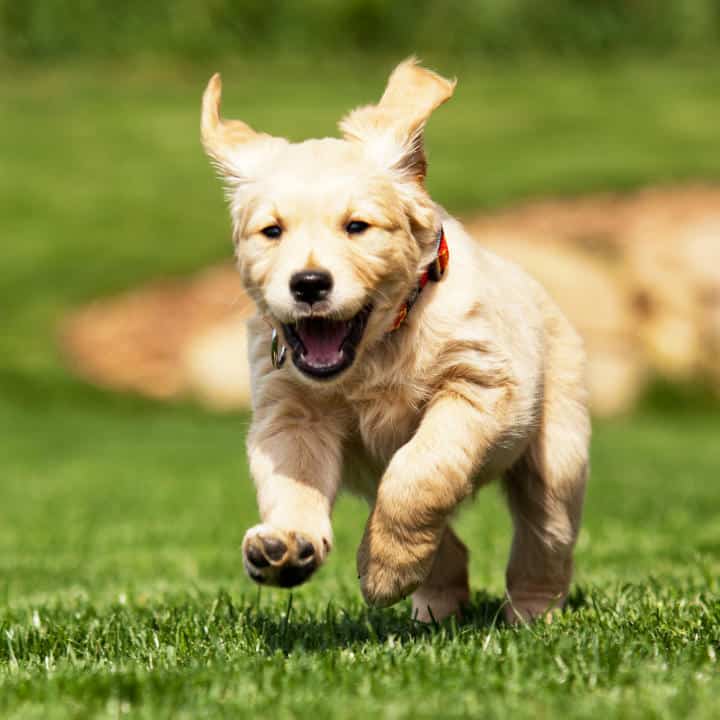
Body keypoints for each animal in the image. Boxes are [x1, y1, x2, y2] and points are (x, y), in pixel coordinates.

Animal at [201, 59, 592, 620]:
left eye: (357, 226)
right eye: (272, 231)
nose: (309, 284)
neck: (377, 348)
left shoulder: (479, 386)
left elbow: (420, 472)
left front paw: (385, 571)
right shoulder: (292, 415)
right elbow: (295, 482)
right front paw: (287, 544)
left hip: (557, 453)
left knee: (545, 538)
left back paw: (530, 615)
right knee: (450, 546)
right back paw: (434, 607)